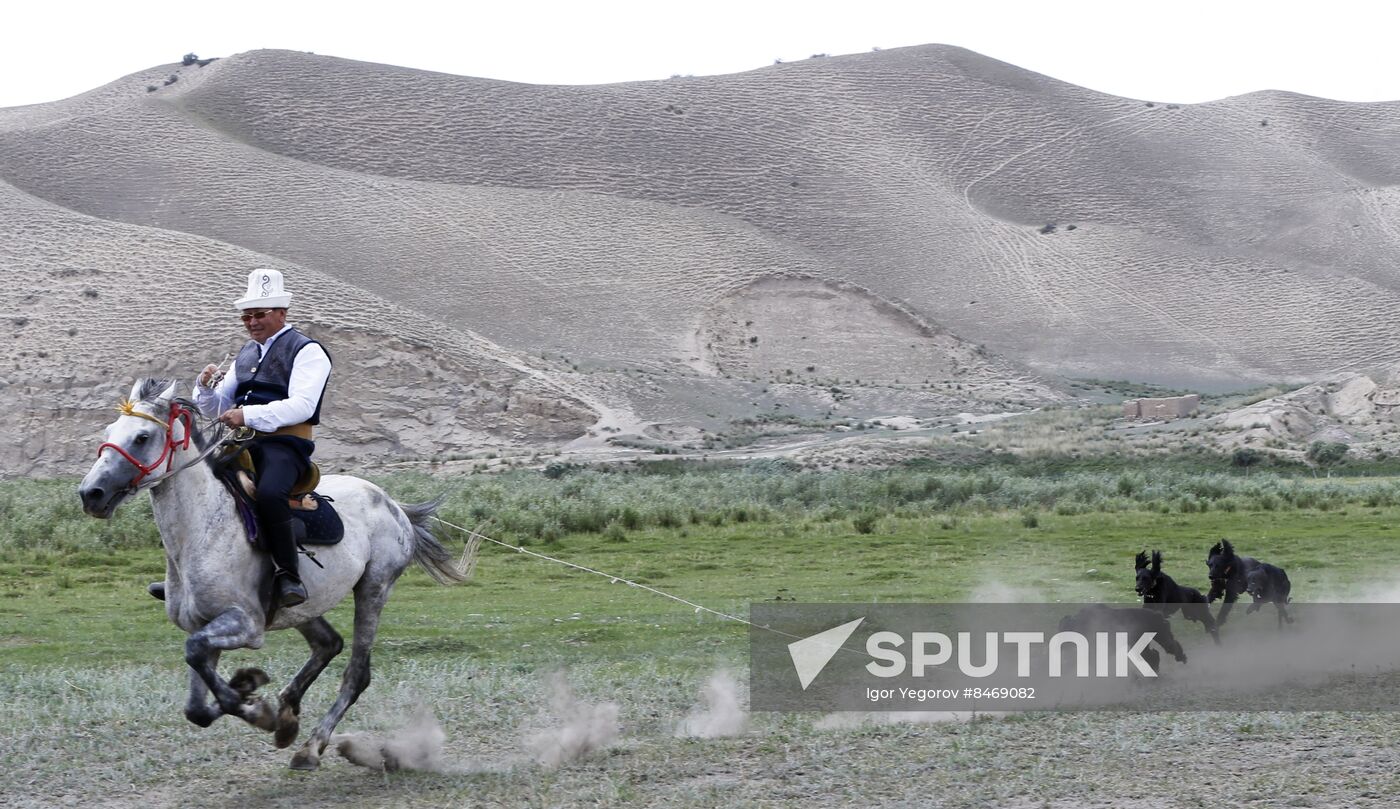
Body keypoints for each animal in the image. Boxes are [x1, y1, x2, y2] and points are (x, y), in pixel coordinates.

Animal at [79, 377, 464, 767]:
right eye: (109, 432)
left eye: (142, 437)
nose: (90, 494)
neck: (202, 530)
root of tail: (392, 503)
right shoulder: (203, 625)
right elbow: (196, 705)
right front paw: (253, 693)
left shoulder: (246, 625)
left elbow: (198, 659)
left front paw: (255, 706)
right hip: (303, 606)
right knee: (328, 643)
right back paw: (288, 712)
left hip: (373, 589)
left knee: (357, 674)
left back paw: (311, 746)